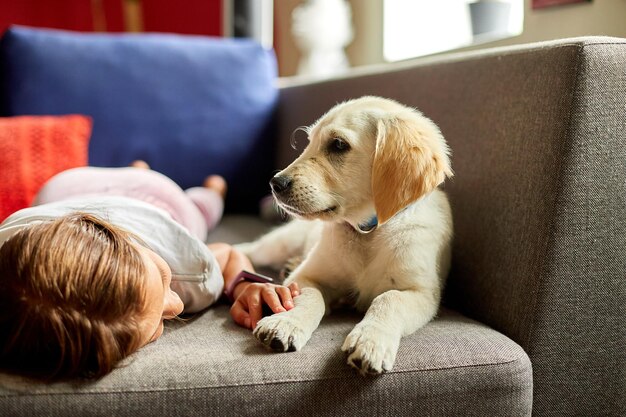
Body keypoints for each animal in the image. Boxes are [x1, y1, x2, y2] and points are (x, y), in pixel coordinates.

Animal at [236, 96, 450, 374]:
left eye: (338, 145)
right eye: (309, 143)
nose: (275, 184)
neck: (368, 231)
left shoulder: (423, 293)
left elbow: (389, 299)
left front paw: (371, 341)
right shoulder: (305, 277)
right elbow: (312, 297)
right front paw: (286, 323)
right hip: (280, 243)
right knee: (251, 249)